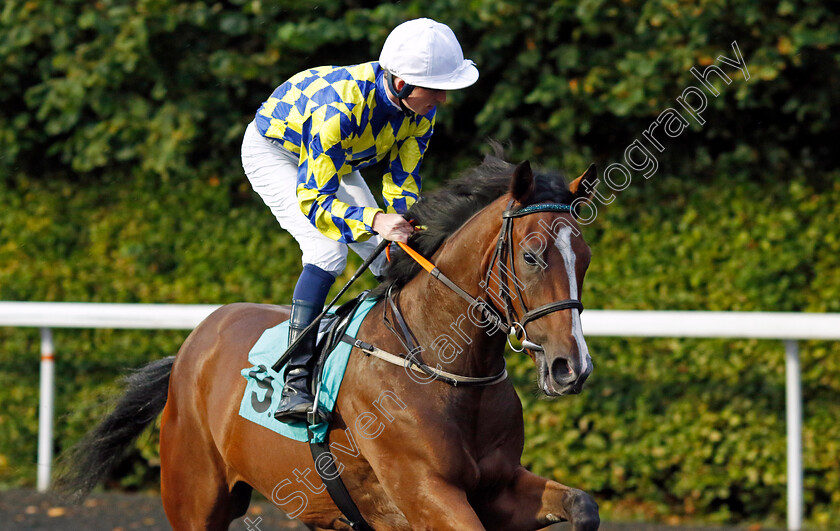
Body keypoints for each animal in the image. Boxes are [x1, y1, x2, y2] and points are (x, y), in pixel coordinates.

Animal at [55, 151, 600, 531]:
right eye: (531, 256)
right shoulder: (426, 493)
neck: (444, 368)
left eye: (586, 257)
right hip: (194, 497)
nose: (571, 368)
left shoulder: (500, 485)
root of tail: (192, 346)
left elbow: (583, 504)